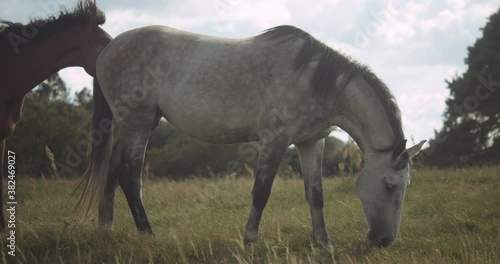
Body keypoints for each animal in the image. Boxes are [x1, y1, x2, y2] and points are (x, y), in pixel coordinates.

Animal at [75, 24, 426, 248]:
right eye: (390, 185)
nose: (384, 241)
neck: (315, 80)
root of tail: (108, 48)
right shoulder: (275, 140)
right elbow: (261, 191)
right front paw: (250, 239)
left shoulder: (311, 142)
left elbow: (316, 194)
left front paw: (323, 242)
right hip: (136, 123)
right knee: (130, 177)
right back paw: (148, 234)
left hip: (136, 124)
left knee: (112, 171)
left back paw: (107, 230)